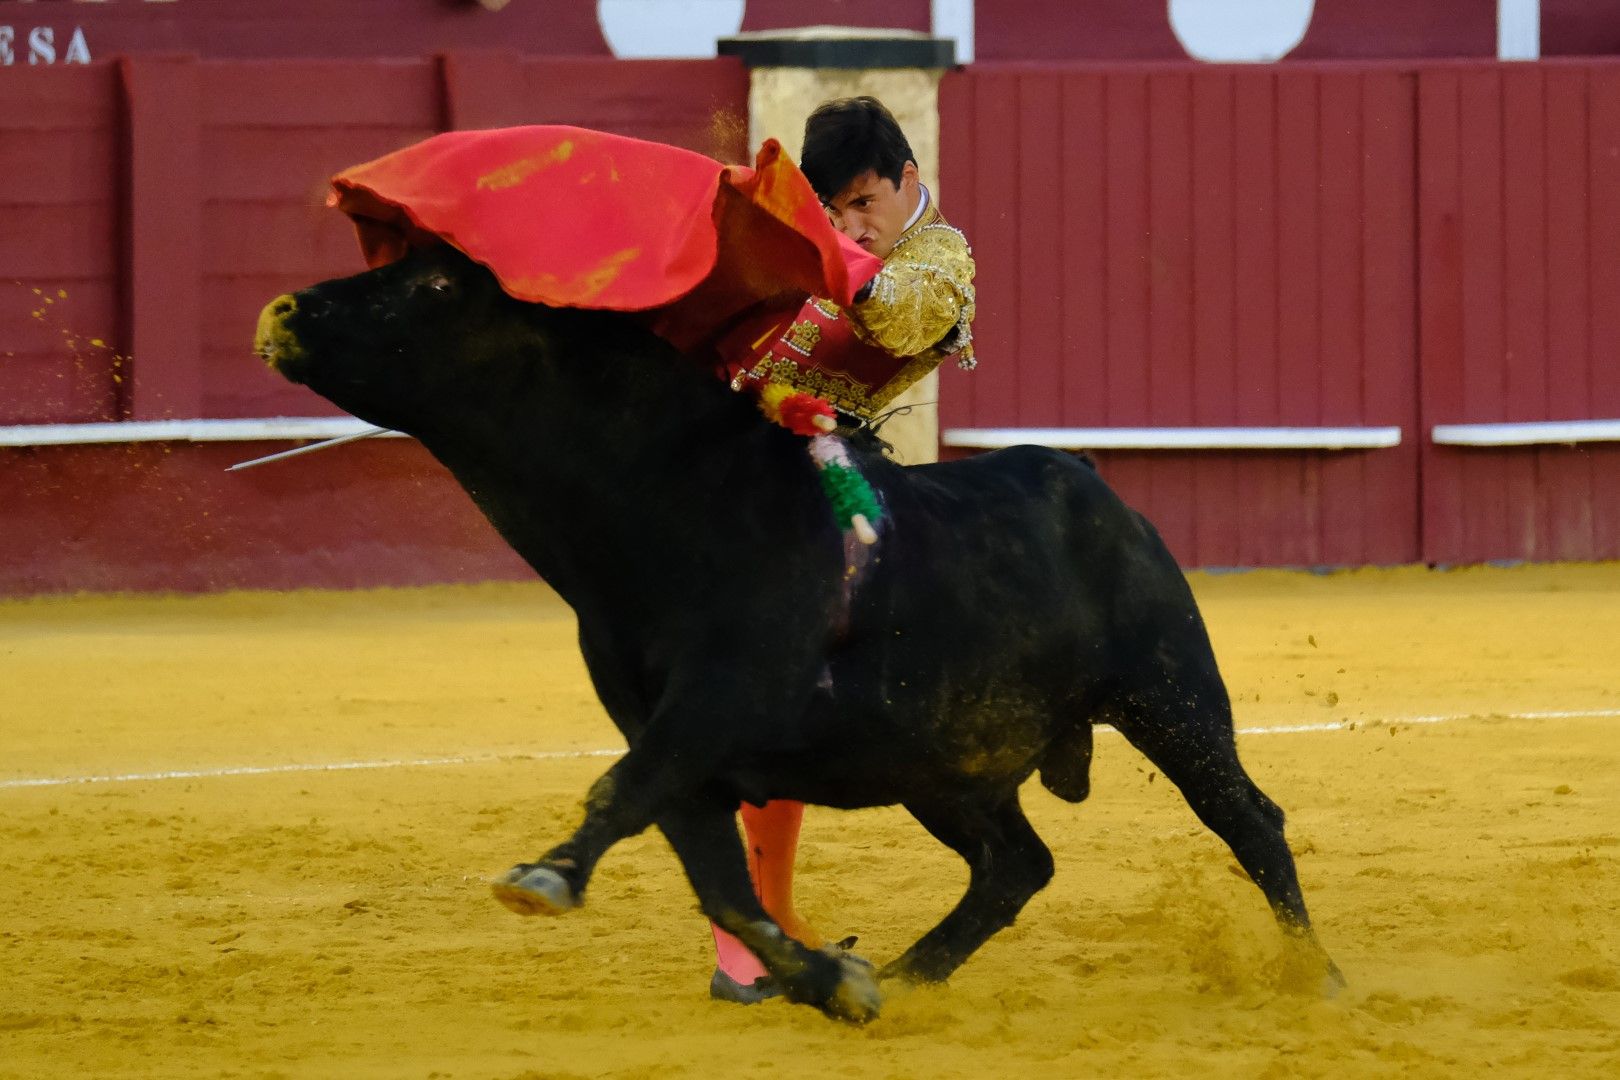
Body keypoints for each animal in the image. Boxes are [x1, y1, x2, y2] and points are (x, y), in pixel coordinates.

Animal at [252, 244, 1341, 1023]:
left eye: (434, 279)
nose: (283, 311)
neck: (665, 503)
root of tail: (1092, 482)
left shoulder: (708, 708)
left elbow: (623, 799)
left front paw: (544, 878)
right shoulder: (675, 744)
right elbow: (720, 884)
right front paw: (833, 984)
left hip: (1170, 695)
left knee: (1249, 819)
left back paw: (1318, 977)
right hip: (941, 763)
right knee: (1016, 864)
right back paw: (905, 975)